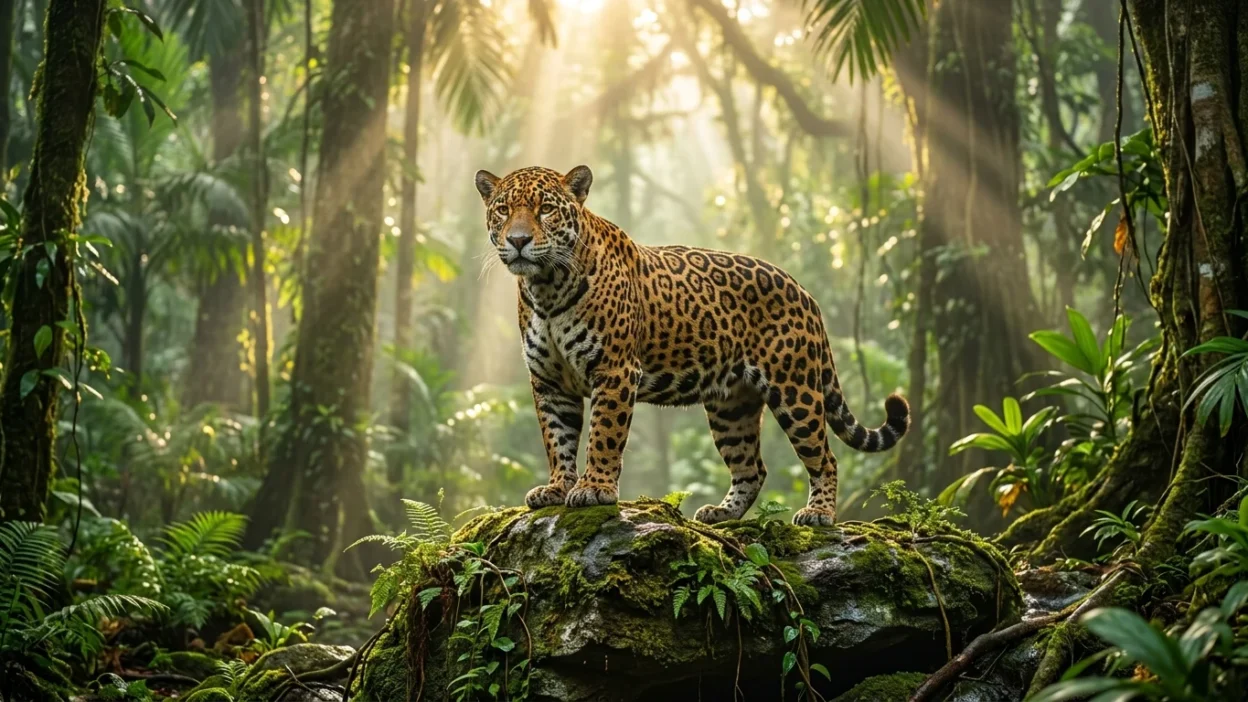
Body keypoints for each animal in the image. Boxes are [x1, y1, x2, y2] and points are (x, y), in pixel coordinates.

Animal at [474, 165, 910, 526]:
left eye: (546, 209)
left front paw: (594, 488)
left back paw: (818, 514)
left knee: (825, 457)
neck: (546, 286)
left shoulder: (614, 370)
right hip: (731, 406)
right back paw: (721, 513)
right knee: (752, 468)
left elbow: (603, 434)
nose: (518, 240)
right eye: (503, 210)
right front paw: (557, 488)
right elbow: (557, 438)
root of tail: (804, 291)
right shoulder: (549, 381)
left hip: (795, 389)